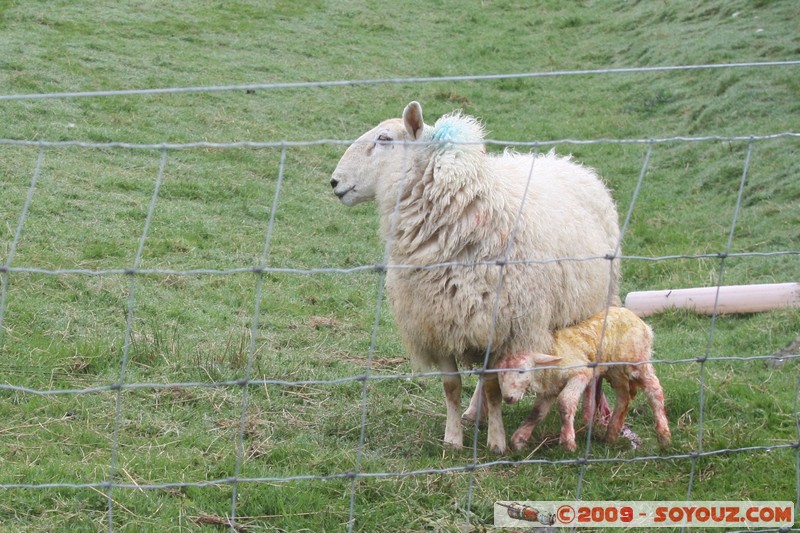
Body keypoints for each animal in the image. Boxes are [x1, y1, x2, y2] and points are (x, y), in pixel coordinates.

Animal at [328, 101, 620, 454]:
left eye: (384, 138)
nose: (334, 182)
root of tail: (566, 162)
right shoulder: (438, 324)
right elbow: (452, 386)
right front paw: (453, 438)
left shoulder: (503, 329)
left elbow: (494, 388)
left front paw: (496, 442)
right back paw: (473, 413)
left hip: (597, 303)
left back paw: (593, 416)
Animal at [496, 306, 672, 450]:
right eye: (500, 374)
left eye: (521, 371)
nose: (508, 398)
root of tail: (641, 322)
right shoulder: (550, 389)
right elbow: (537, 412)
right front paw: (519, 439)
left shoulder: (580, 373)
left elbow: (565, 401)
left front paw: (568, 441)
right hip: (615, 370)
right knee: (623, 395)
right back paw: (611, 434)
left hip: (637, 359)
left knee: (654, 389)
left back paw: (664, 436)